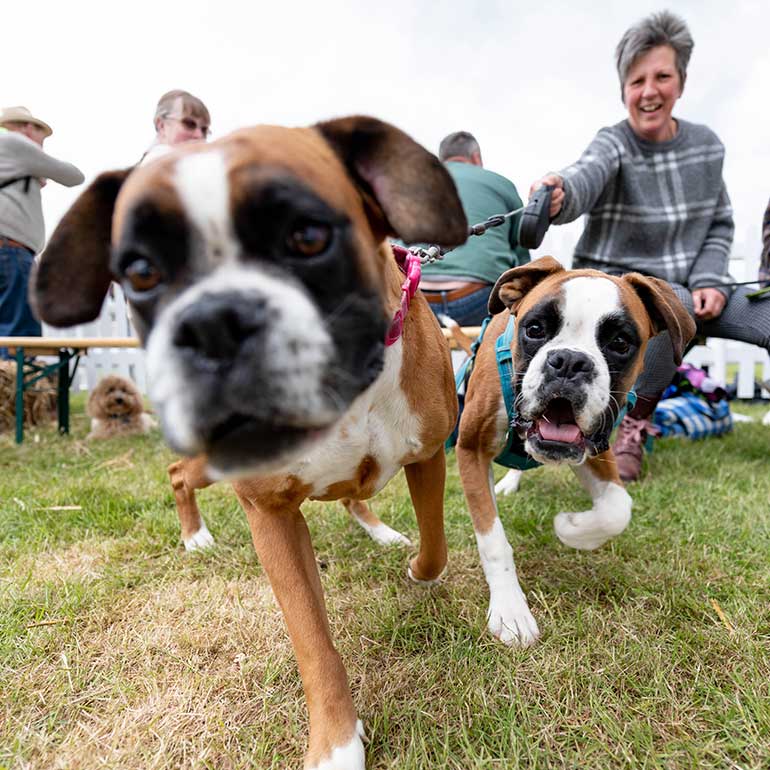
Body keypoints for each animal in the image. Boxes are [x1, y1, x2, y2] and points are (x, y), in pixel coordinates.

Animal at [33, 114, 464, 768]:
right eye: (140, 272)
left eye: (307, 236)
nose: (213, 321)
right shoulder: (271, 515)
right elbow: (313, 641)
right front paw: (336, 742)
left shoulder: (429, 455)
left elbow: (436, 544)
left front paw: (417, 569)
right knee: (179, 474)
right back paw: (195, 536)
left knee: (355, 493)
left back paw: (379, 530)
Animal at [456, 255, 696, 644]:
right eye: (534, 329)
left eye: (619, 342)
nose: (569, 361)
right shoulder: (470, 449)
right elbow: (493, 539)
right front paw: (510, 610)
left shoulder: (596, 450)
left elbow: (617, 508)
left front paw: (571, 527)